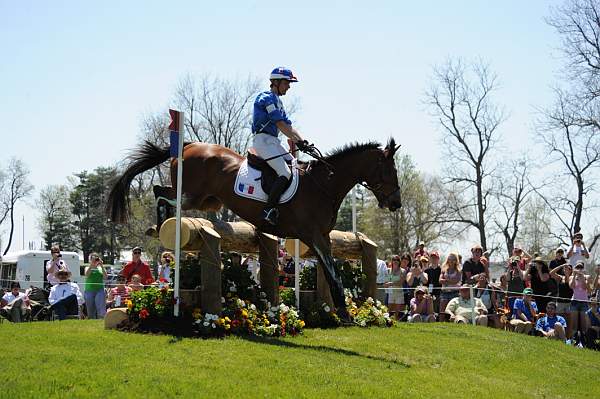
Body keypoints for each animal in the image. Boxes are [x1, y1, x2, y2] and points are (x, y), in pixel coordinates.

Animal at [108, 139, 400, 320]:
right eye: (389, 171)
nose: (396, 203)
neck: (323, 185)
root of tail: (189, 144)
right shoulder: (315, 236)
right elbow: (333, 273)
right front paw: (344, 310)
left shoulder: (322, 238)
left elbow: (330, 272)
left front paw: (341, 308)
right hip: (193, 194)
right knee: (161, 192)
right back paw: (159, 225)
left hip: (208, 201)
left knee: (165, 192)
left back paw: (159, 226)